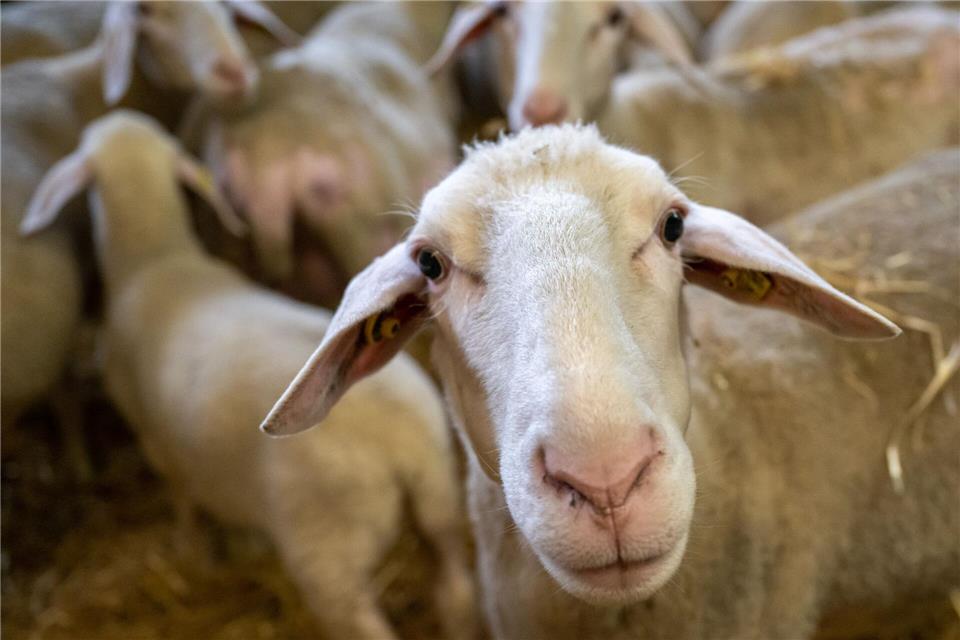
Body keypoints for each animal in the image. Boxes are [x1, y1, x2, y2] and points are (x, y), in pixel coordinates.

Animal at [19, 110, 477, 640]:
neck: (155, 258)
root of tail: (401, 443)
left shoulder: (156, 441)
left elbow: (184, 500)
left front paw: (194, 555)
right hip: (441, 499)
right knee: (455, 588)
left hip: (327, 548)